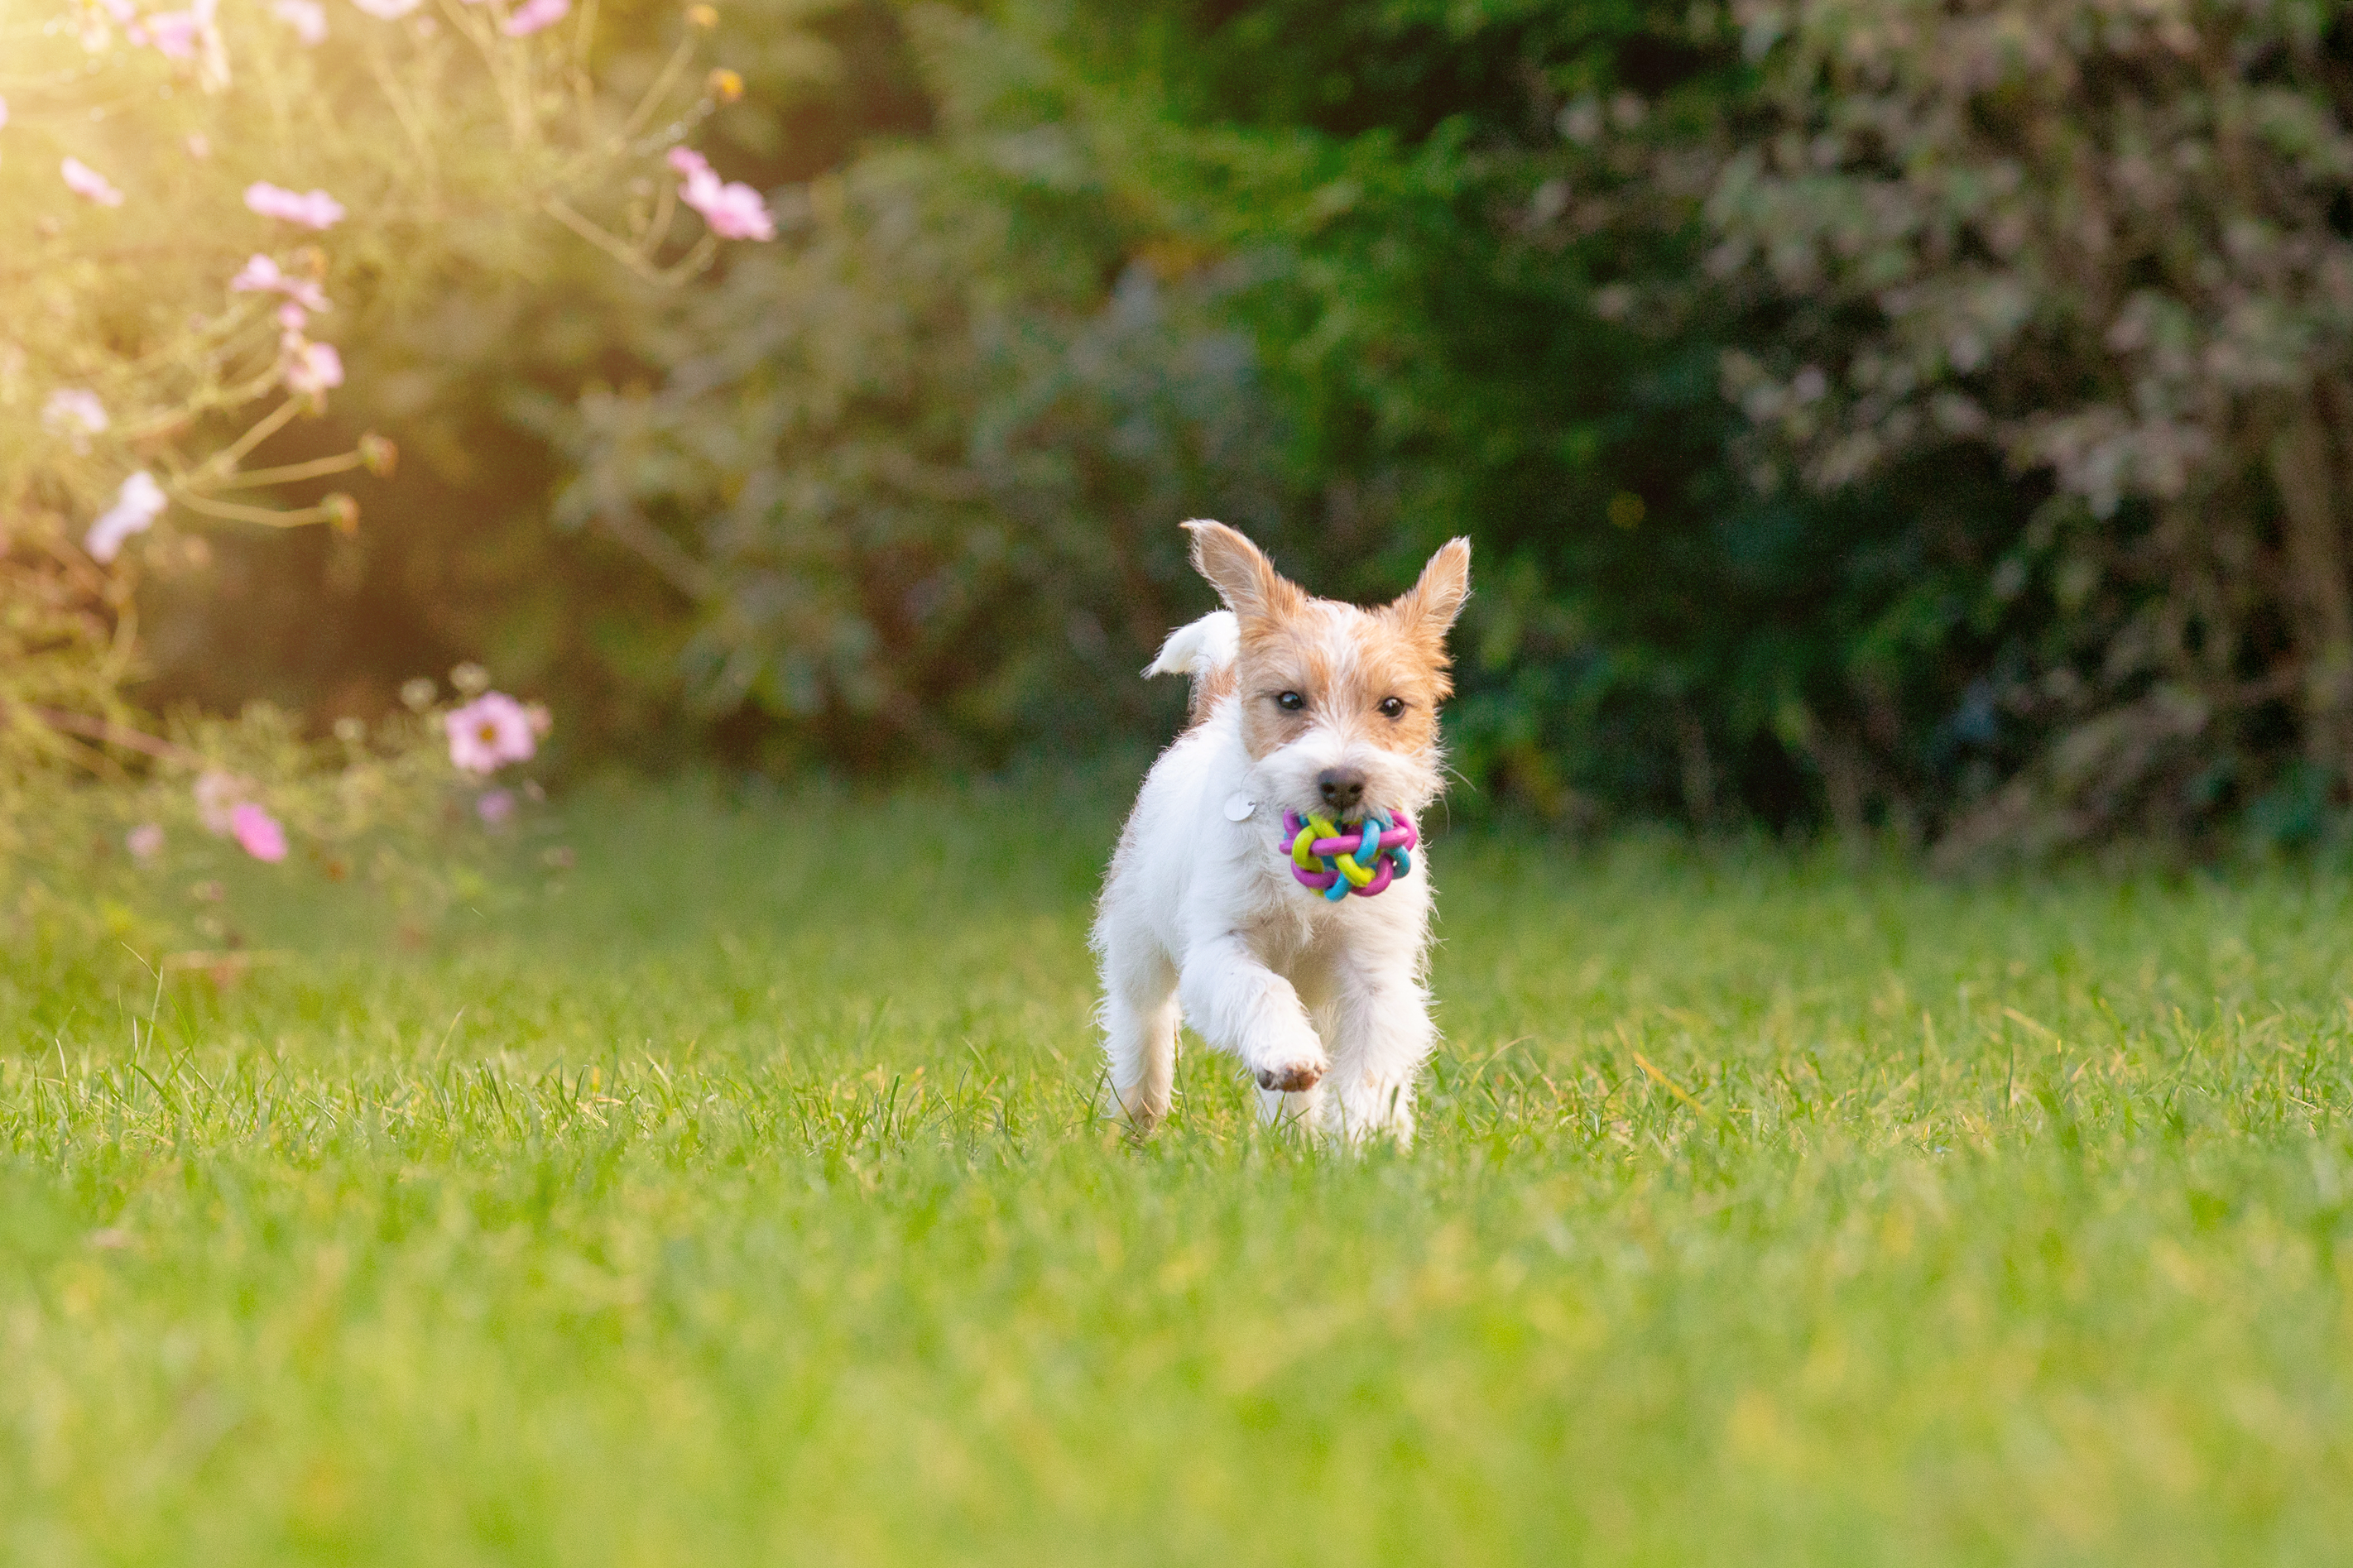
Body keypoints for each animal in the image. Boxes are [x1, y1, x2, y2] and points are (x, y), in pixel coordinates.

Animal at [1087, 521, 1468, 1147]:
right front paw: (1288, 1054)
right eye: (1290, 700)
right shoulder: (1220, 947)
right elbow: (1262, 990)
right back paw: (1138, 1117)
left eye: (1392, 706)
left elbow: (1369, 1064)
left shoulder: (1374, 973)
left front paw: (1367, 1138)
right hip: (1137, 950)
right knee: (1141, 1027)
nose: (1342, 782)